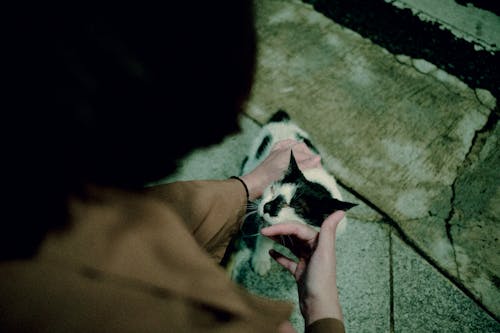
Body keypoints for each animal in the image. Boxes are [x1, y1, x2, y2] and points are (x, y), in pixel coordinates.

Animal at [225, 109, 358, 274]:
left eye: (296, 206)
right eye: (273, 189)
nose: (267, 207)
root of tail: (284, 121)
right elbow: (264, 239)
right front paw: (261, 260)